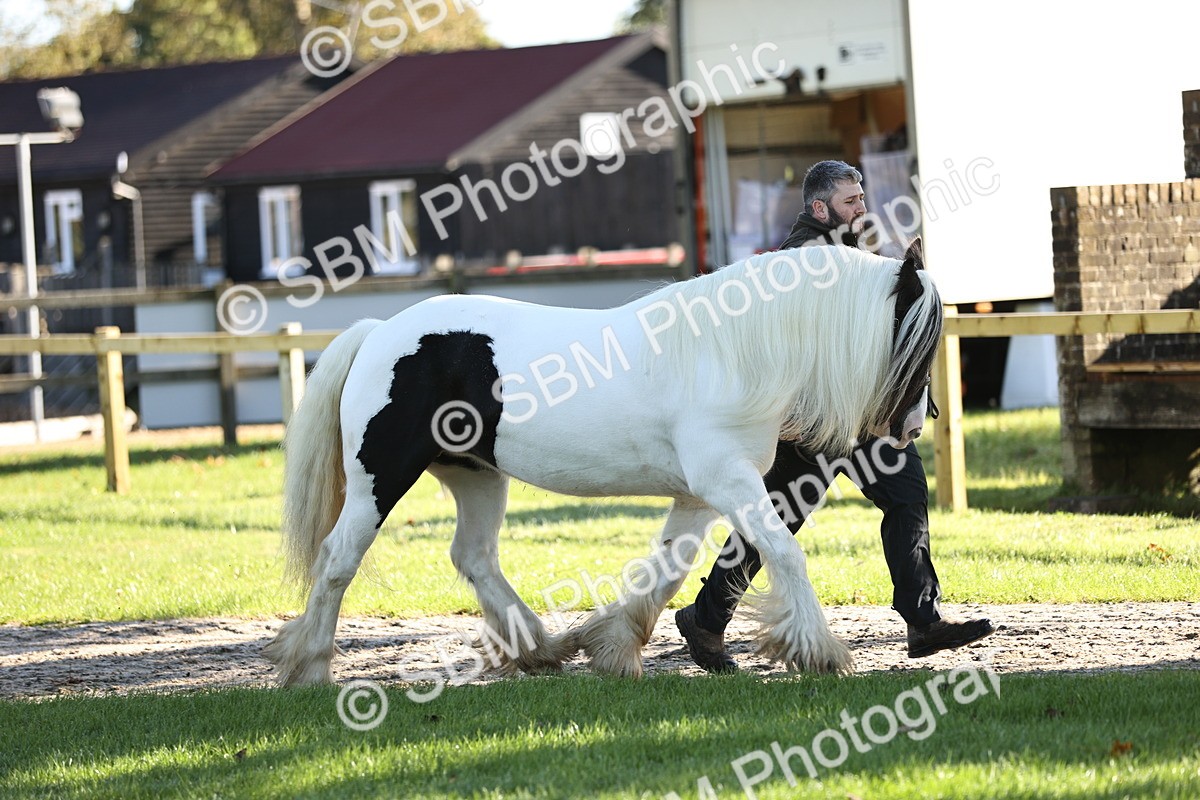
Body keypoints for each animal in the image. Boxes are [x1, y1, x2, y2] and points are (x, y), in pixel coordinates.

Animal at [264, 239, 942, 686]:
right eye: (918, 338)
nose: (915, 425)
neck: (732, 351)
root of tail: (379, 332)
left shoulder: (699, 496)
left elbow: (668, 570)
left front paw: (614, 647)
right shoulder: (729, 482)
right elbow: (783, 553)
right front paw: (820, 650)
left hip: (476, 476)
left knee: (474, 557)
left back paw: (540, 648)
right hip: (379, 480)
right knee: (337, 559)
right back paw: (311, 668)